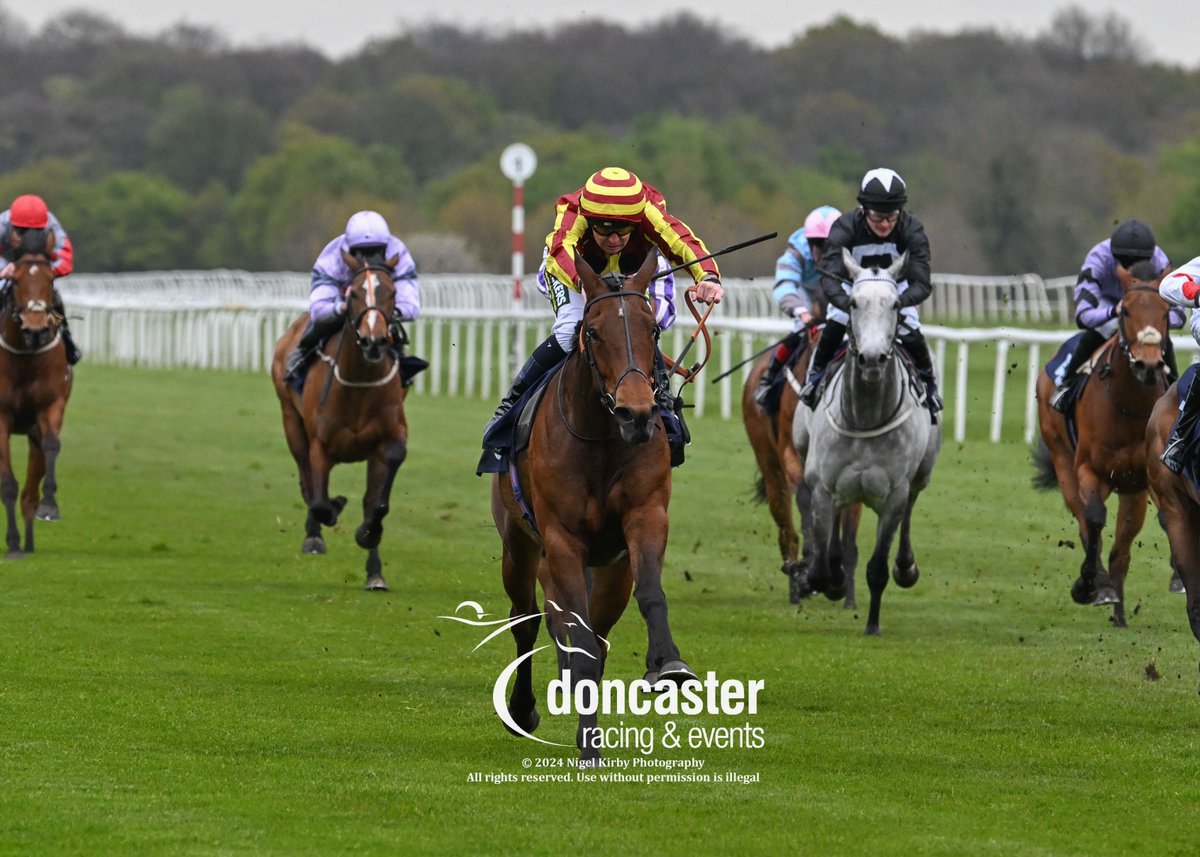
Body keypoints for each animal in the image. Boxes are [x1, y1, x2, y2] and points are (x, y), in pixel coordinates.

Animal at [270, 250, 410, 590]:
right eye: (354, 293)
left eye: (393, 292)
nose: (374, 342)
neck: (358, 385)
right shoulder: (320, 446)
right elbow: (319, 500)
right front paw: (332, 511)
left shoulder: (387, 440)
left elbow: (376, 502)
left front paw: (370, 546)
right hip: (291, 422)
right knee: (307, 480)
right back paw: (314, 535)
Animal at [489, 248, 696, 763]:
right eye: (595, 332)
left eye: (653, 330)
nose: (636, 413)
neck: (602, 438)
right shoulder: (562, 540)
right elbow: (572, 631)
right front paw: (587, 745)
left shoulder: (644, 519)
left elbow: (650, 596)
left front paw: (669, 665)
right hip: (518, 546)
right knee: (526, 619)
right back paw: (523, 710)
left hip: (611, 569)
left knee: (594, 636)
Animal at [739, 331, 864, 604]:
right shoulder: (791, 455)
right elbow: (806, 505)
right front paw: (810, 567)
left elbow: (848, 537)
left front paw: (846, 594)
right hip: (769, 463)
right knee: (787, 529)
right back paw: (796, 586)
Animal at [1032, 256, 1171, 624]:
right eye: (1126, 311)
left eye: (1167, 311)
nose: (1148, 365)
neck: (1128, 407)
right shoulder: (1089, 470)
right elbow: (1093, 520)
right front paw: (1091, 586)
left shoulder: (1148, 475)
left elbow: (1164, 519)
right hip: (1063, 460)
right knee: (1083, 520)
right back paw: (1099, 585)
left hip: (1132, 490)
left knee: (1122, 546)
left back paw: (1119, 613)